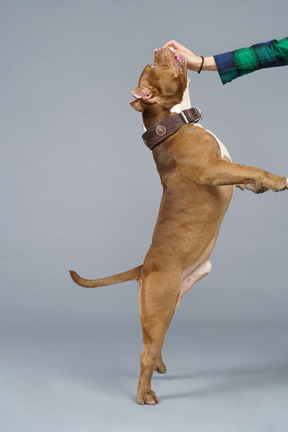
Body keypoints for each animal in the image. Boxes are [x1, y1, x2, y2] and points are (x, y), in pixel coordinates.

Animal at [70, 47, 288, 404]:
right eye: (154, 65)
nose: (161, 48)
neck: (174, 121)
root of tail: (144, 267)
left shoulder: (226, 171)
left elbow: (247, 176)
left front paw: (261, 187)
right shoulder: (214, 170)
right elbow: (251, 167)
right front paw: (279, 181)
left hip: (169, 306)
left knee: (153, 343)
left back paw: (159, 364)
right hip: (160, 307)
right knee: (144, 352)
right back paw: (145, 394)